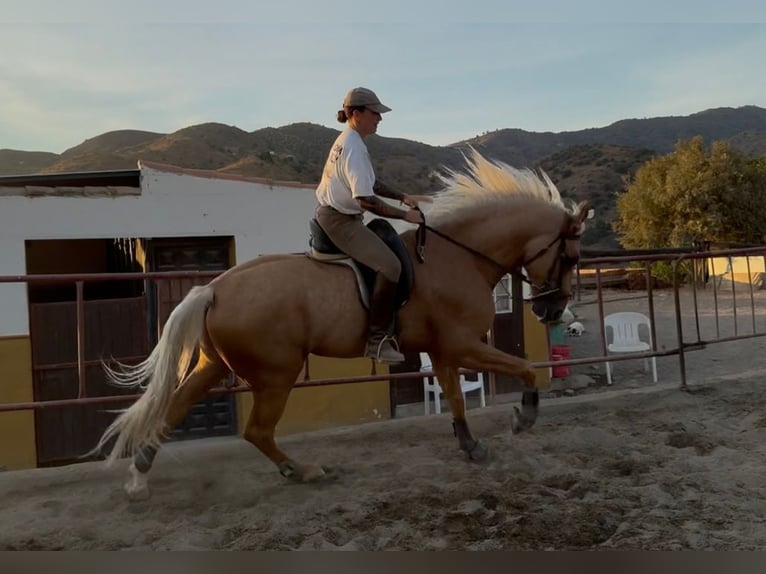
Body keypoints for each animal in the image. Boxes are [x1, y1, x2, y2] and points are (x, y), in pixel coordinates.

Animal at [94, 149, 589, 500]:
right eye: (571, 256)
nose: (552, 312)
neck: (459, 257)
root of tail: (214, 288)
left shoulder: (445, 350)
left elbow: (454, 399)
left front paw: (471, 447)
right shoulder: (464, 344)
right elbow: (525, 369)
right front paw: (523, 418)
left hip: (214, 365)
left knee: (175, 408)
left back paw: (139, 476)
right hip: (276, 374)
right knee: (256, 430)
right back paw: (300, 470)